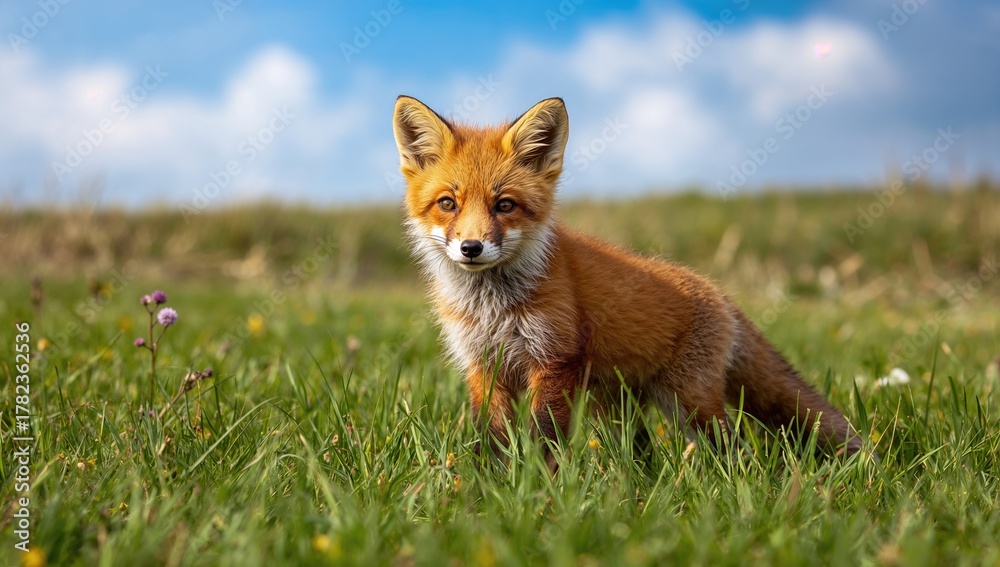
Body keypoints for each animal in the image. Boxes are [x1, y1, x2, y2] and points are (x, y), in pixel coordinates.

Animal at [392, 95, 865, 467]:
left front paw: (538, 489)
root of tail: (719, 293)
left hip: (688, 404)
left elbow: (544, 438)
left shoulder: (554, 361)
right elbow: (493, 439)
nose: (471, 248)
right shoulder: (483, 366)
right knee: (642, 453)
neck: (491, 305)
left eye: (504, 205)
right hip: (616, 406)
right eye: (448, 204)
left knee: (734, 449)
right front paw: (493, 487)